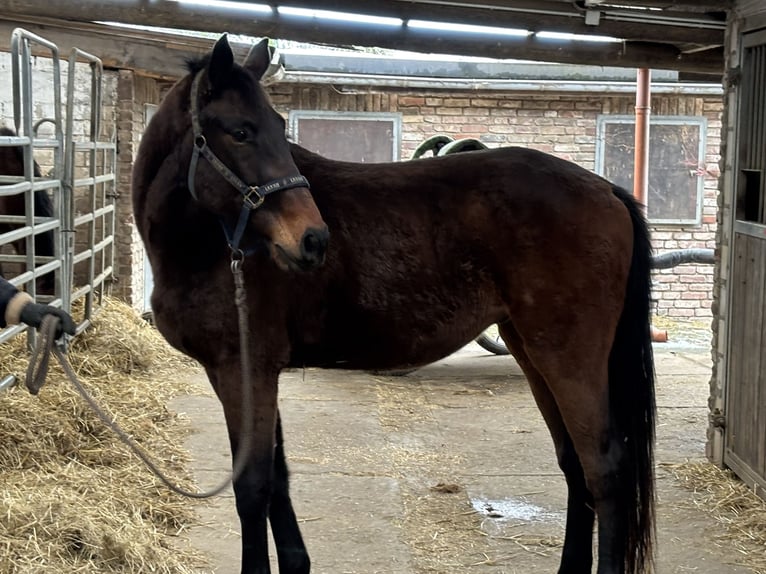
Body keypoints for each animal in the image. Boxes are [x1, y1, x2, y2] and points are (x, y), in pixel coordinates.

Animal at [133, 35, 656, 574]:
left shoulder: (245, 369)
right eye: (240, 131)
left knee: (603, 468)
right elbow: (277, 477)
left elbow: (252, 486)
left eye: (277, 128)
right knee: (574, 463)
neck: (209, 244)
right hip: (531, 349)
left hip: (569, 357)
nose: (313, 239)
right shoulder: (252, 373)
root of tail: (608, 190)